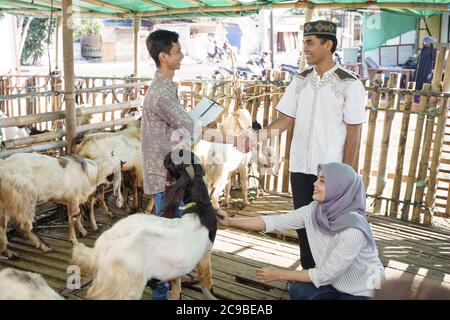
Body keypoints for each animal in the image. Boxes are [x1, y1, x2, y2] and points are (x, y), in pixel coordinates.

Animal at [72, 150, 216, 300]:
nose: (166, 155)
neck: (200, 206)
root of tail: (100, 250)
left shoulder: (176, 271)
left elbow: (177, 289)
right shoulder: (205, 255)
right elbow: (207, 280)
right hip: (128, 286)